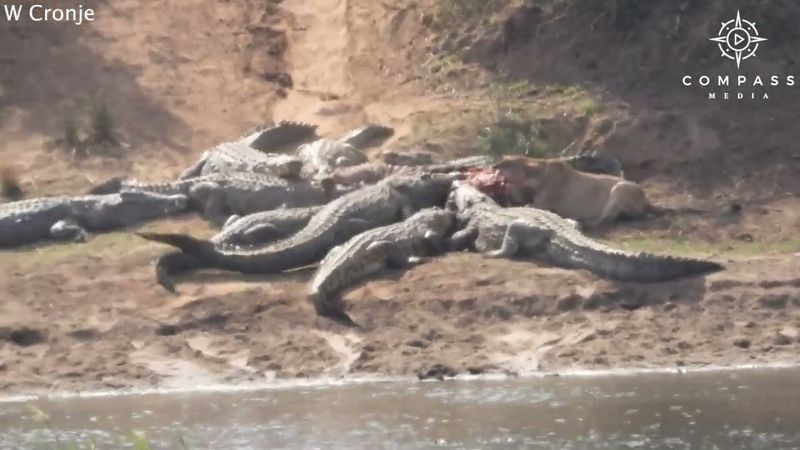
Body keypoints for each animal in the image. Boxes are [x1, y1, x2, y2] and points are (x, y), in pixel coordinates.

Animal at [493, 156, 685, 226]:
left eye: (505, 164)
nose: (494, 165)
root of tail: (647, 200)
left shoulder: (543, 202)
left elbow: (526, 206)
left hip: (620, 188)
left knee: (607, 218)